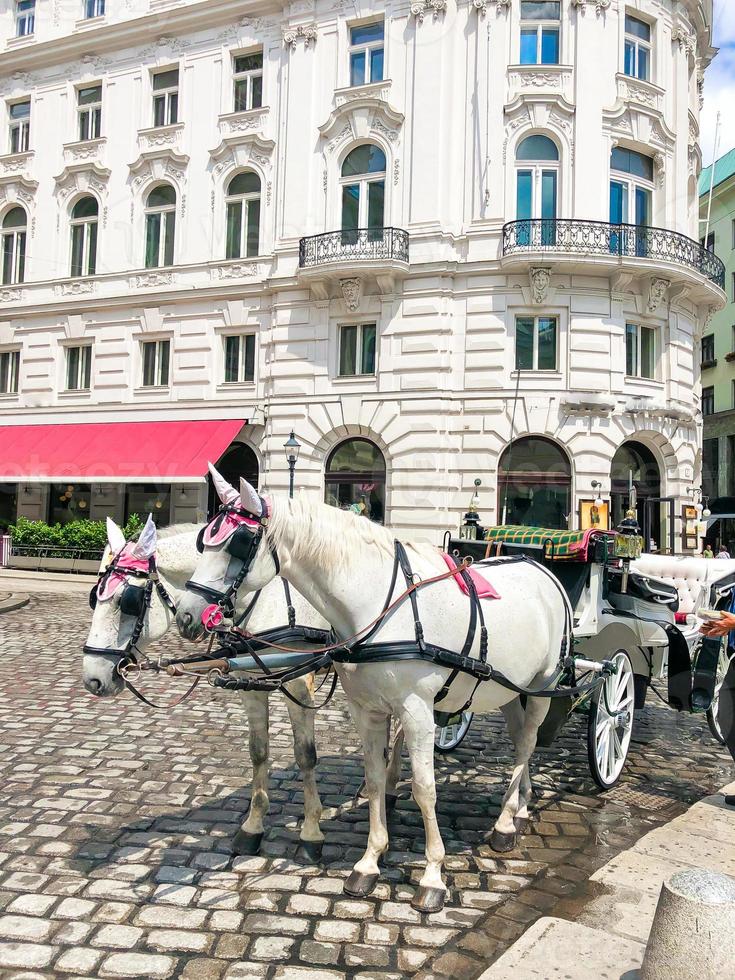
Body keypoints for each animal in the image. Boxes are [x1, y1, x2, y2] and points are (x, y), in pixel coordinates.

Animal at [82, 512, 330, 856]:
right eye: (95, 596)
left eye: (127, 601)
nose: (93, 679)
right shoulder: (252, 683)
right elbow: (258, 751)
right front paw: (252, 827)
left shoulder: (298, 682)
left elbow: (305, 754)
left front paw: (311, 831)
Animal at [177, 480, 568, 912]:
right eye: (203, 542)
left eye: (239, 544)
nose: (185, 615)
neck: (377, 605)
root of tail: (538, 565)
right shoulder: (366, 709)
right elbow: (373, 778)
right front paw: (369, 861)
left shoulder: (415, 710)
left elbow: (425, 789)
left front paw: (432, 875)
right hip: (509, 689)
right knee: (520, 740)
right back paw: (521, 805)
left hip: (544, 683)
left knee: (526, 745)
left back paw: (505, 822)